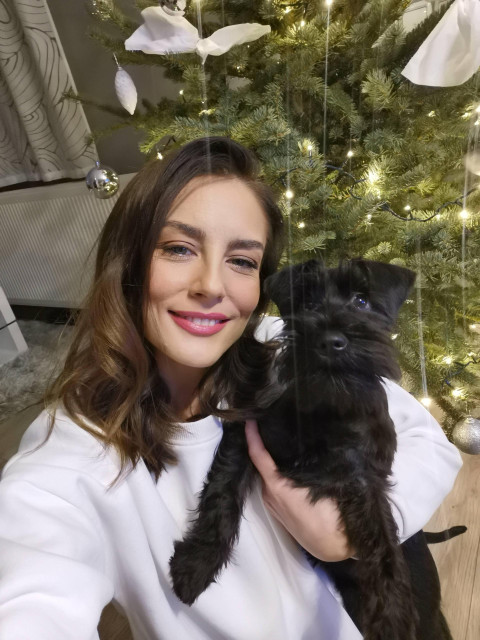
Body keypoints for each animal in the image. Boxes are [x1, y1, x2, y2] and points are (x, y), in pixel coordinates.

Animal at [169, 258, 454, 640]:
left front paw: (392, 617)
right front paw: (196, 562)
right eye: (307, 303)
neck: (325, 408)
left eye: (362, 301)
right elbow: (221, 493)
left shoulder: (363, 480)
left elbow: (381, 544)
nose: (330, 342)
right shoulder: (248, 434)